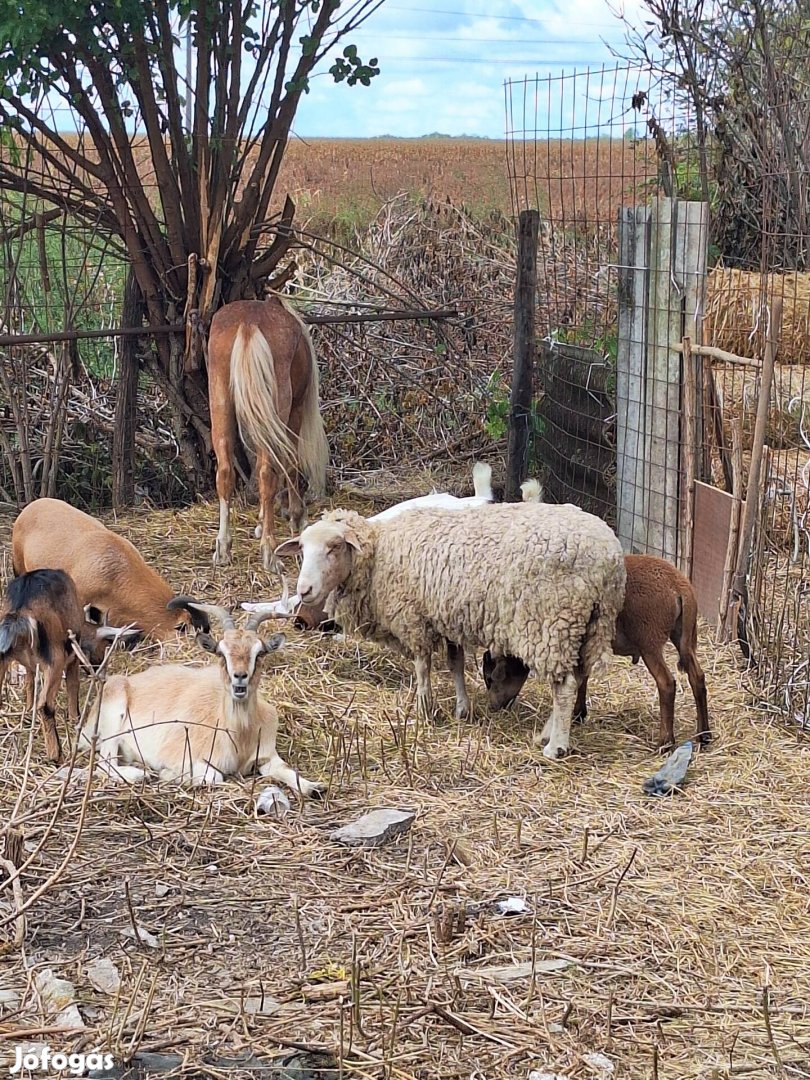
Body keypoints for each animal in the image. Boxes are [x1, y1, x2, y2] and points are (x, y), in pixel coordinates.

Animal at [0, 570, 137, 764]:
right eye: (104, 645)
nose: (98, 666)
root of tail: (20, 612)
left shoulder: (30, 666)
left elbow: (29, 684)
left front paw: (27, 713)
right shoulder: (72, 656)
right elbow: (73, 685)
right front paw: (75, 718)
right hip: (55, 662)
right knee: (46, 704)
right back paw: (56, 755)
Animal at [207, 295, 330, 574]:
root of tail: (249, 322)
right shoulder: (294, 412)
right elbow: (291, 463)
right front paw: (296, 516)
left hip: (221, 404)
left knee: (226, 472)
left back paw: (223, 549)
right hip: (279, 407)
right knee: (267, 472)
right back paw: (269, 553)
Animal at [276, 498, 626, 760]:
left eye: (335, 546)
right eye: (302, 549)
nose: (304, 590)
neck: (379, 554)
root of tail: (610, 557)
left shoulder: (414, 618)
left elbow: (422, 666)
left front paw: (424, 709)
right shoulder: (445, 617)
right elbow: (455, 664)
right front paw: (461, 708)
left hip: (551, 623)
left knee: (564, 686)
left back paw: (556, 746)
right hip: (589, 624)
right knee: (578, 677)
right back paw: (546, 733)